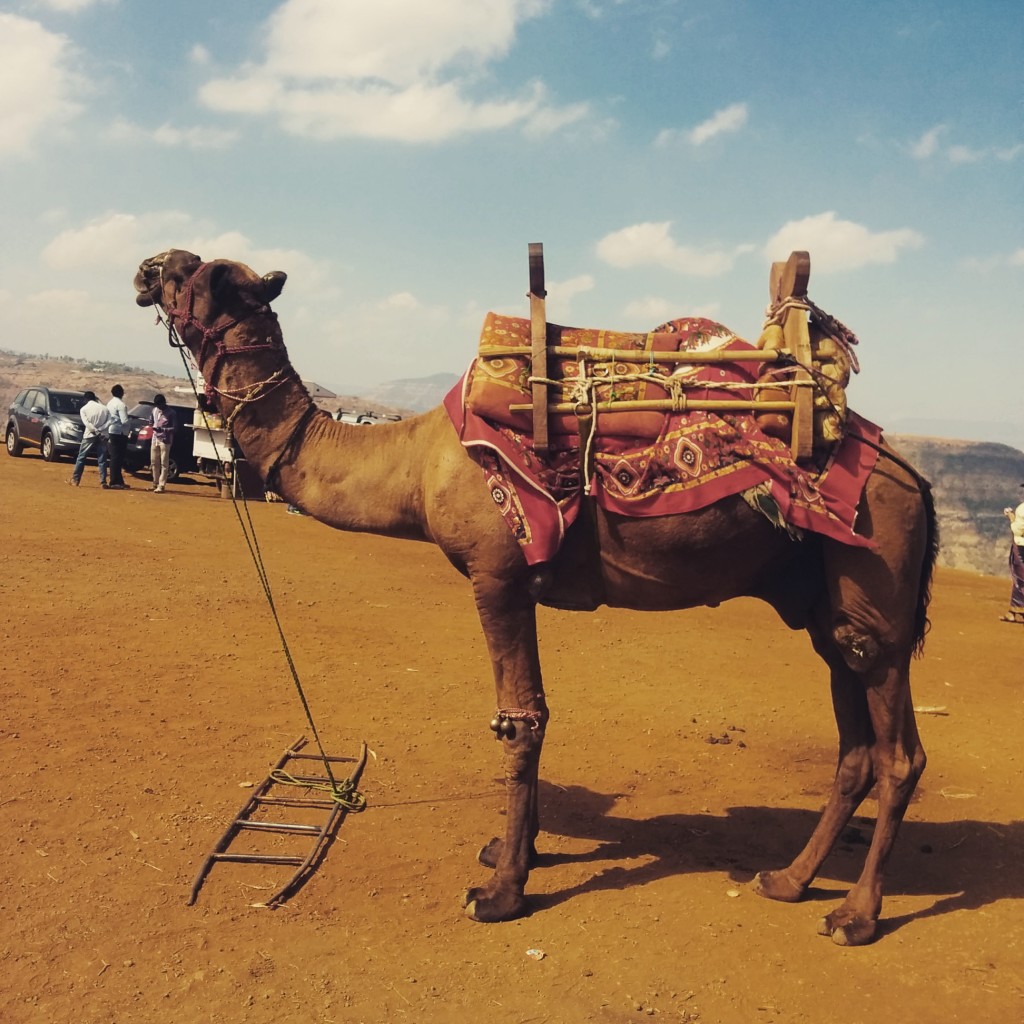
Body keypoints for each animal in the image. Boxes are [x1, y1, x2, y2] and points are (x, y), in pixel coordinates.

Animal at [134, 249, 937, 946]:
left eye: (198, 275)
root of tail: (913, 476)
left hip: (877, 587)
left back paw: (855, 917)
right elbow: (532, 714)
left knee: (901, 755)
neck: (413, 461)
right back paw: (790, 881)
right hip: (829, 609)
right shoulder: (513, 581)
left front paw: (501, 892)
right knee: (855, 748)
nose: (146, 266)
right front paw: (510, 853)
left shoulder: (497, 574)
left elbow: (521, 721)